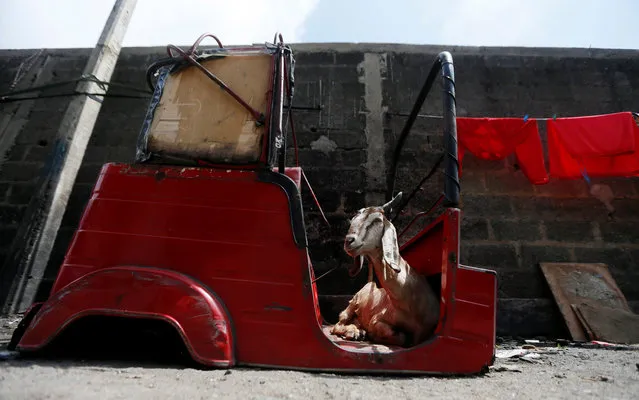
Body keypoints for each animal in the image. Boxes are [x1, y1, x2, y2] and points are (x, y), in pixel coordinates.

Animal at [330, 193, 440, 346]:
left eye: (376, 220)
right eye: (353, 219)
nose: (349, 241)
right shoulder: (377, 320)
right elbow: (401, 336)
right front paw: (372, 335)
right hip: (351, 306)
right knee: (337, 325)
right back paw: (354, 332)